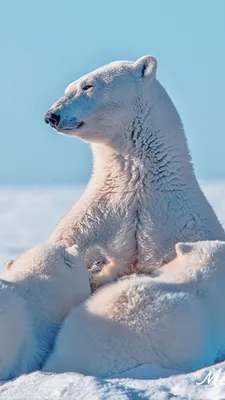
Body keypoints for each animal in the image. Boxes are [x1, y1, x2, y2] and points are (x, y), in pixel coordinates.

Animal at [44, 57, 225, 288]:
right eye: (68, 88)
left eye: (88, 86)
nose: (51, 115)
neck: (138, 183)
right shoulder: (96, 213)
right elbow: (67, 240)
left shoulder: (186, 221)